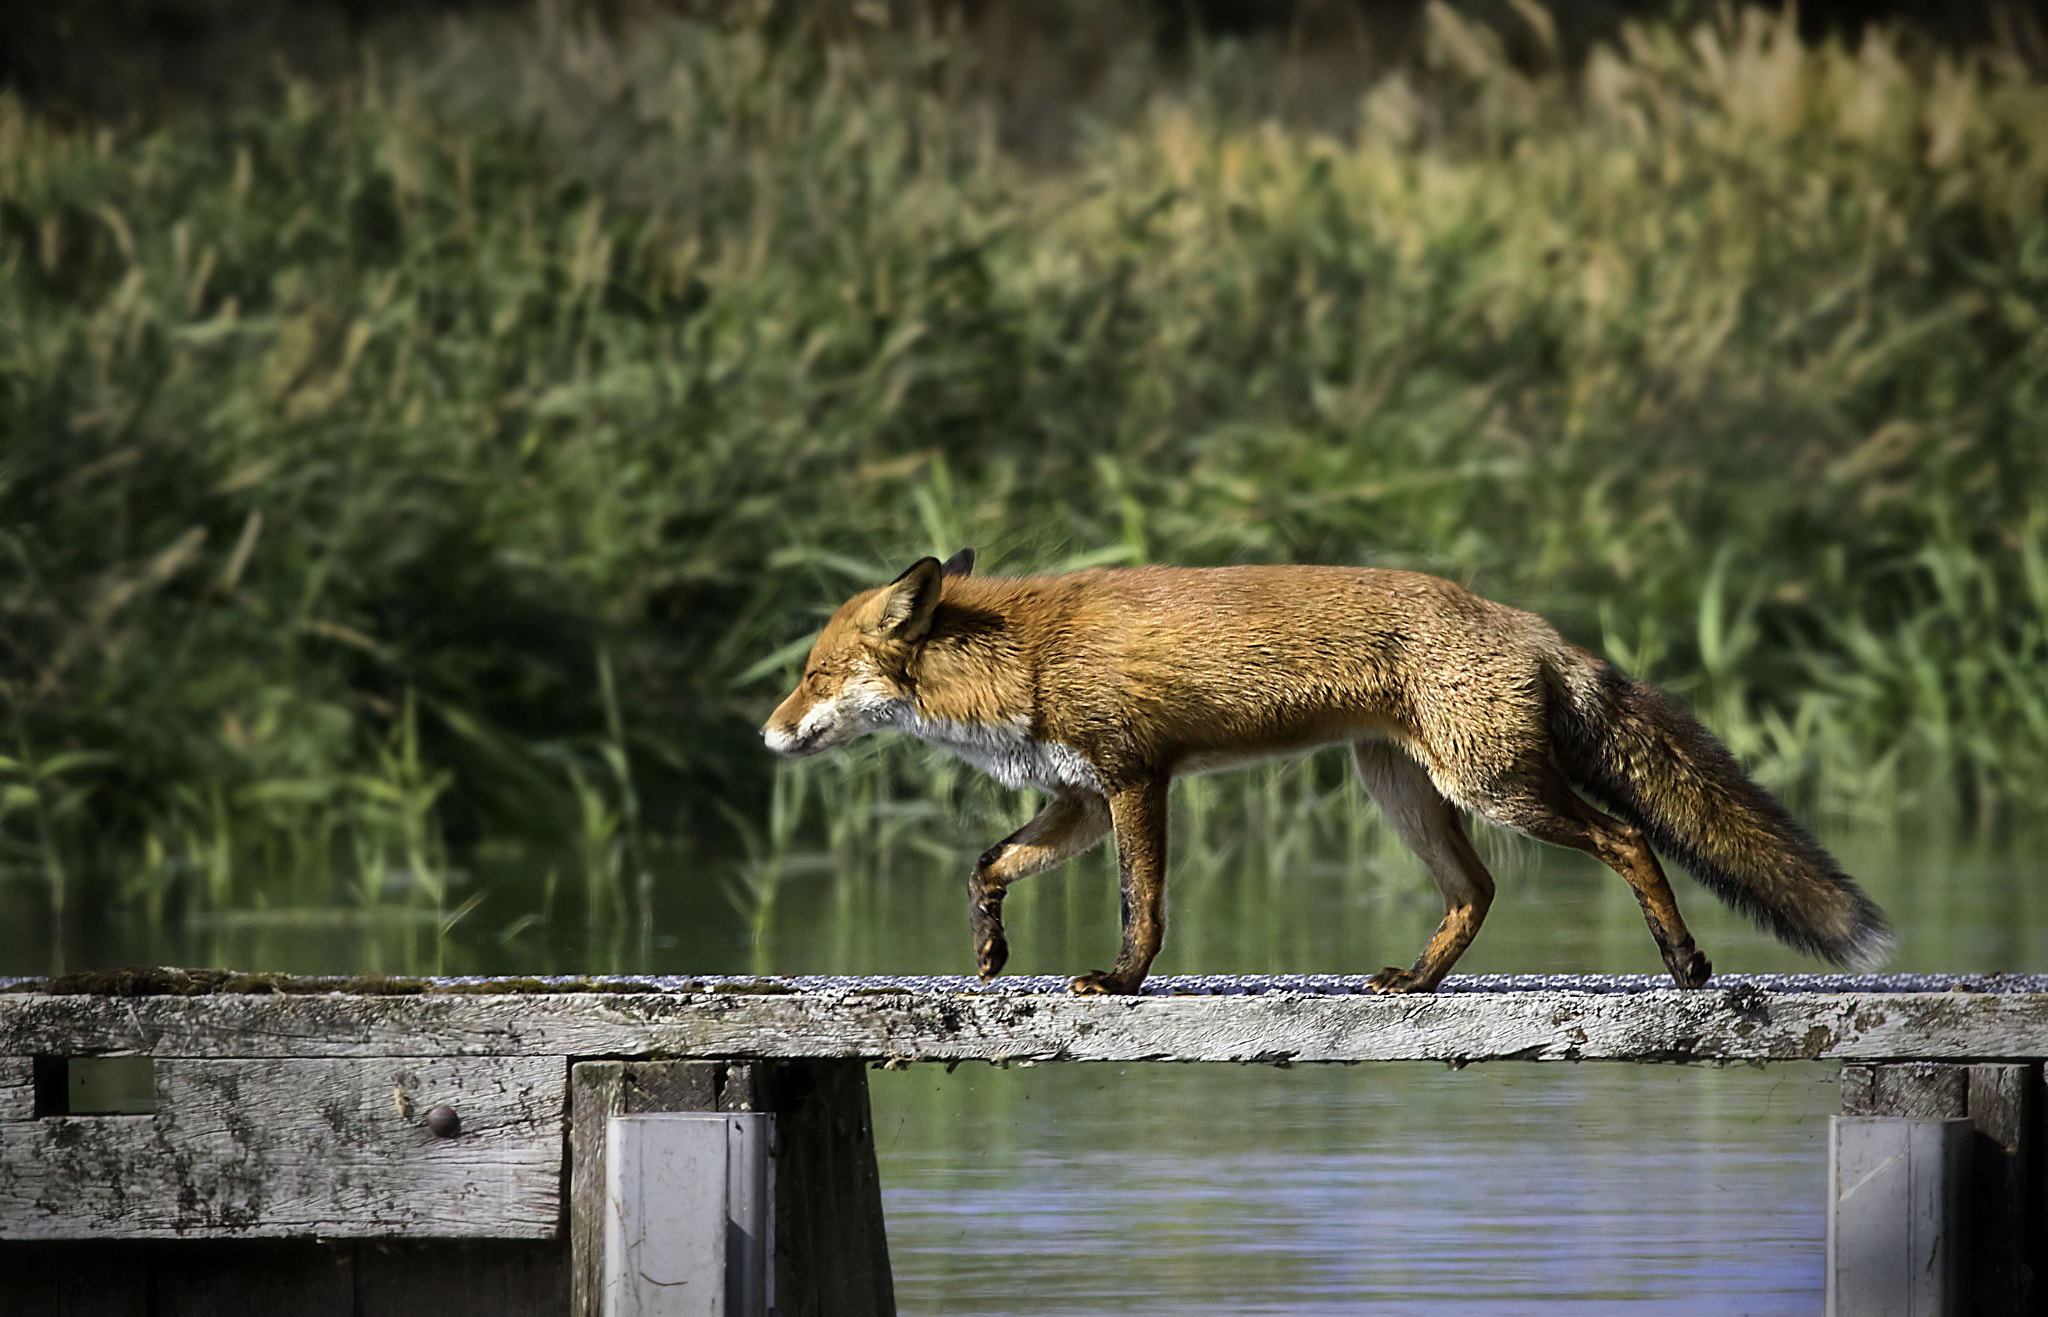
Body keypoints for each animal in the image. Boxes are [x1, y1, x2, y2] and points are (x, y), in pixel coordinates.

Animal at [761, 553, 1892, 995]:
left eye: (811, 674)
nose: (765, 735)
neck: (1019, 657)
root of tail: (1527, 622)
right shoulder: (1076, 800)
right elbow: (985, 863)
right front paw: (991, 950)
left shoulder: (1134, 779)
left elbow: (1142, 905)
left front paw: (1121, 981)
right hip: (1404, 792)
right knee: (1476, 891)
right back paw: (1418, 982)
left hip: (1496, 788)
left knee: (1627, 838)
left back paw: (1684, 961)